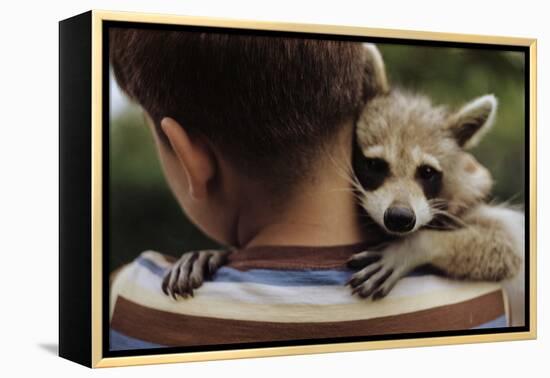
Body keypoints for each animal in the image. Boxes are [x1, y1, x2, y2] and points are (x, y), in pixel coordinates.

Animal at [348, 44, 524, 300]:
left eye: (427, 172)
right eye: (375, 165)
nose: (400, 218)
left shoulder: (470, 197)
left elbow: (506, 247)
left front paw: (413, 247)